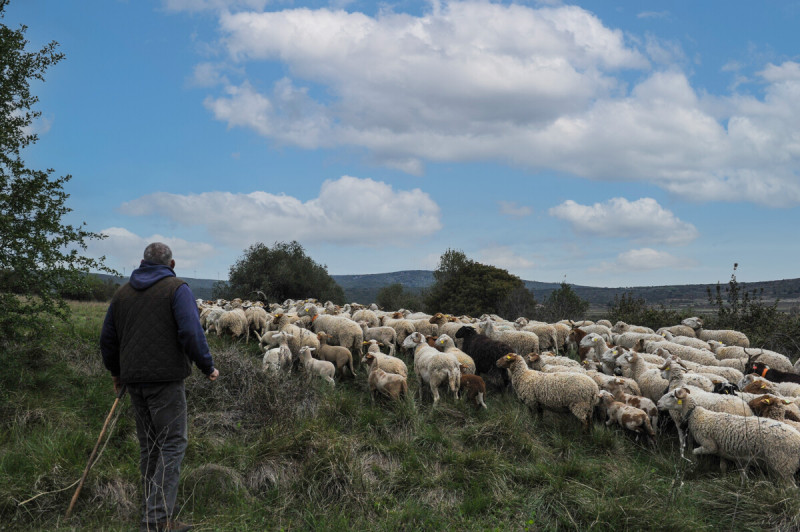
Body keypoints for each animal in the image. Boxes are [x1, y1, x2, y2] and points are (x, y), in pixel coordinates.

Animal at [656, 386, 800, 486]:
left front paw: (692, 461)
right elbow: (728, 468)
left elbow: (695, 451)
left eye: (671, 396)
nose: (657, 403)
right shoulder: (727, 453)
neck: (696, 415)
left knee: (791, 488)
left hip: (784, 466)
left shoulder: (710, 445)